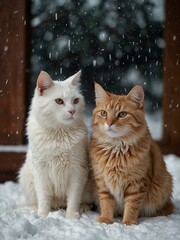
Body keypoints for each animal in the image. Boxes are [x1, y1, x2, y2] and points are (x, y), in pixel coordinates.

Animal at [18, 70, 90, 218]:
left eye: (76, 100)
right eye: (59, 101)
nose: (72, 111)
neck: (59, 136)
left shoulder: (78, 170)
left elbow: (74, 197)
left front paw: (72, 216)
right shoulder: (41, 169)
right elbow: (44, 197)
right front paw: (42, 215)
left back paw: (83, 207)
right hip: (26, 177)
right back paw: (35, 208)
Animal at [90, 82, 174, 225]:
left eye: (122, 114)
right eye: (103, 113)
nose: (109, 123)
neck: (116, 150)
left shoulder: (138, 183)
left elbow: (132, 206)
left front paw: (128, 223)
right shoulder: (102, 181)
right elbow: (106, 203)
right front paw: (106, 219)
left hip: (164, 185)